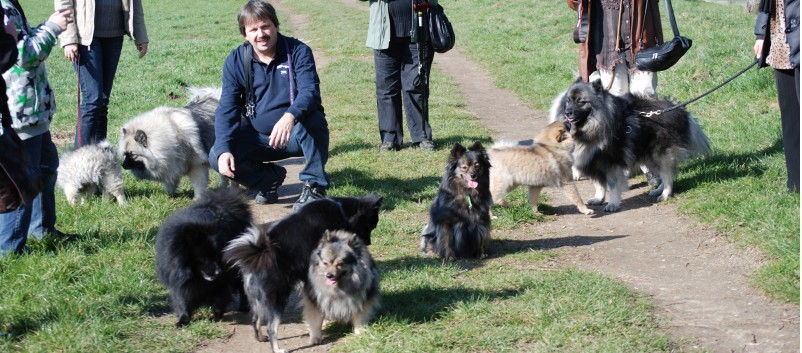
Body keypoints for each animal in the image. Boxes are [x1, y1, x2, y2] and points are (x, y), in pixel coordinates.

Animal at [155, 187, 252, 328]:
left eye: (217, 256)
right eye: (203, 258)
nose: (218, 272)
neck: (196, 276)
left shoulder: (222, 277)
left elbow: (221, 294)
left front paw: (216, 315)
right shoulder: (178, 277)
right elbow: (182, 297)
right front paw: (182, 320)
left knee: (240, 282)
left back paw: (244, 306)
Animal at [220, 192, 380, 352]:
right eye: (370, 225)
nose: (369, 243)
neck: (341, 210)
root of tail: (256, 258)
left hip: (258, 301)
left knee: (255, 319)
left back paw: (260, 338)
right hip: (277, 299)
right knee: (271, 327)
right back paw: (277, 349)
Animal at [552, 79, 708, 210]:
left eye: (581, 102)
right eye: (568, 101)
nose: (567, 112)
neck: (591, 127)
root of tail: (680, 109)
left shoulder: (610, 164)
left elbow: (613, 187)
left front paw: (612, 204)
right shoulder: (593, 163)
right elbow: (599, 185)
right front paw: (598, 199)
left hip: (660, 154)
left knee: (668, 176)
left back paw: (664, 195)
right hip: (649, 157)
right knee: (665, 175)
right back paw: (658, 190)